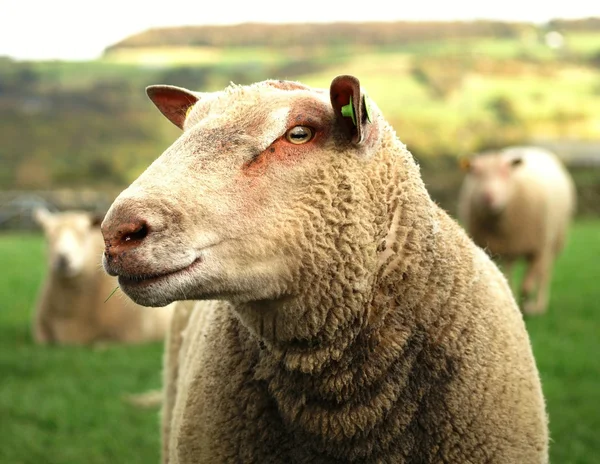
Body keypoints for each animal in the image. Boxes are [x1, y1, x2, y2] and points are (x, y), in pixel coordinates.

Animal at [460, 148, 576, 316]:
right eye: (476, 172)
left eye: (505, 173)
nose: (488, 197)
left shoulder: (538, 248)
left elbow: (527, 285)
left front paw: (527, 307)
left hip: (553, 242)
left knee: (544, 274)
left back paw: (539, 305)